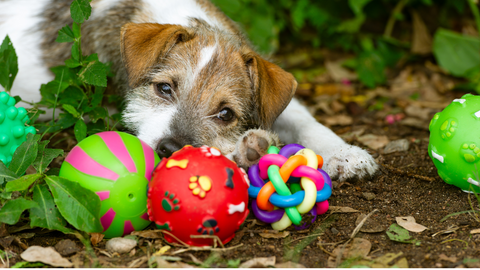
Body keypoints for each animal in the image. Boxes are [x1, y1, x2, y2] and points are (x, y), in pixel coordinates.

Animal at [0, 0, 378, 181]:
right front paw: (245, 150)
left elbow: (304, 119)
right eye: (164, 88)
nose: (170, 149)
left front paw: (345, 153)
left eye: (225, 113)